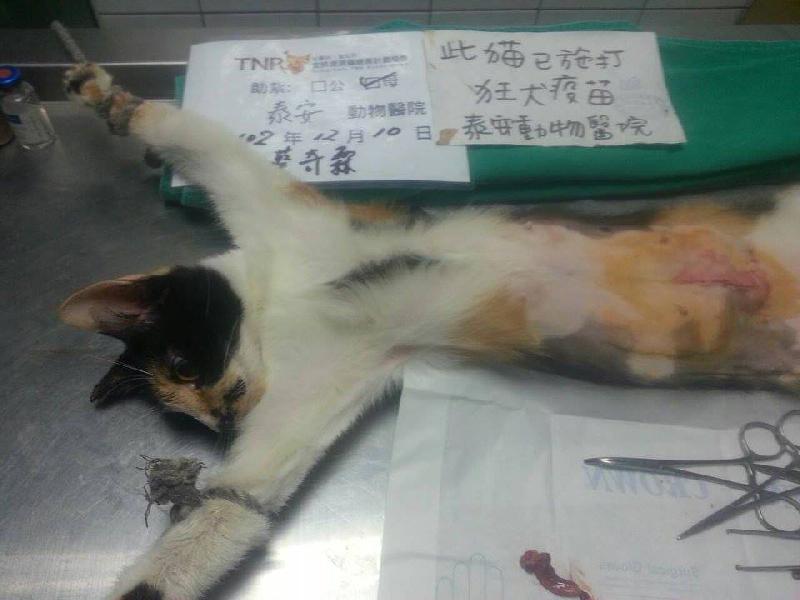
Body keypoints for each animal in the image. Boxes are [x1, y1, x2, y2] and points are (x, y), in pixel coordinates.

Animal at [60, 62, 800, 600]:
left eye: (183, 363)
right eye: (180, 408)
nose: (218, 416)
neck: (278, 298)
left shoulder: (284, 212)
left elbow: (190, 134)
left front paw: (106, 96)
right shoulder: (321, 384)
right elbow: (234, 505)